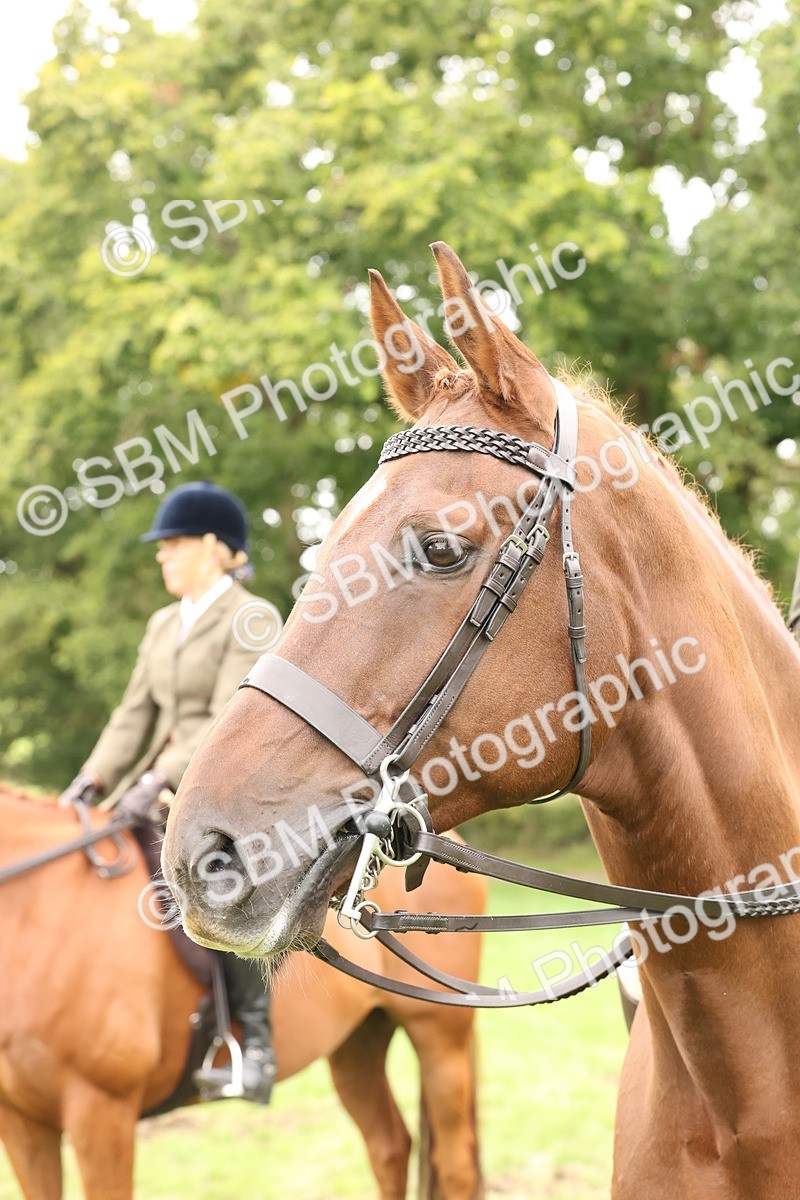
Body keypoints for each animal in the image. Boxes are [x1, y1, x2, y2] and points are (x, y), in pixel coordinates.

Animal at [0, 785, 485, 1200]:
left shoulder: (101, 1112)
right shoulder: (22, 1123)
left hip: (440, 1039)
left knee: (454, 1163)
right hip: (357, 1043)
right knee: (389, 1146)